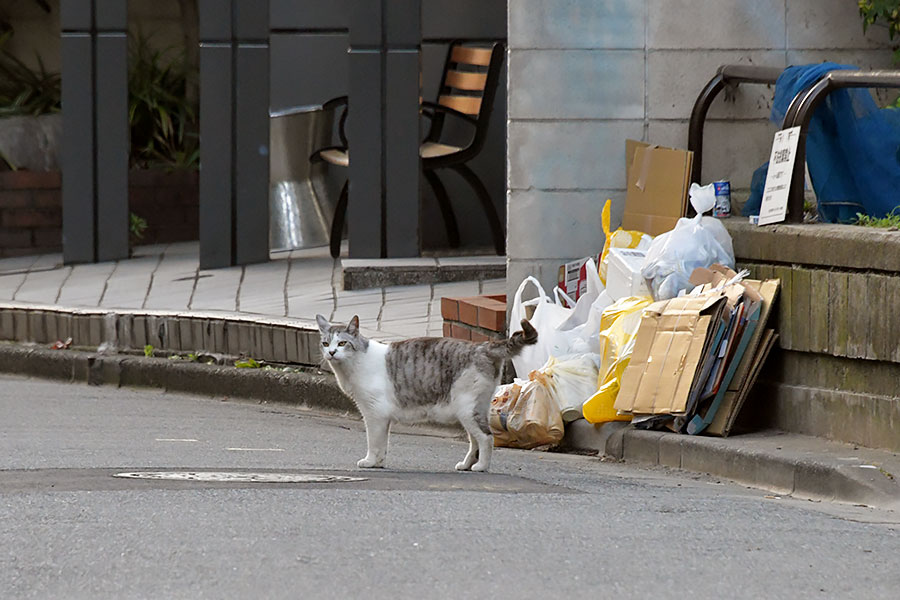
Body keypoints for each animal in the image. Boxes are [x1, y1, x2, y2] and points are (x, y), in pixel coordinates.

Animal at [318, 314, 536, 474]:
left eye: (342, 343)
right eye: (325, 343)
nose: (331, 353)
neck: (353, 365)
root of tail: (482, 346)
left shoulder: (374, 414)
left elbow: (374, 441)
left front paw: (370, 461)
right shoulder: (381, 417)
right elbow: (382, 443)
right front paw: (379, 462)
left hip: (466, 409)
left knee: (486, 438)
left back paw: (481, 466)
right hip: (474, 409)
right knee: (475, 440)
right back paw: (466, 465)